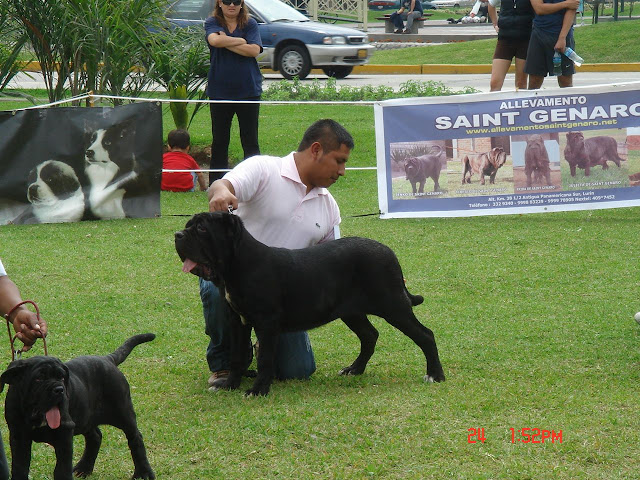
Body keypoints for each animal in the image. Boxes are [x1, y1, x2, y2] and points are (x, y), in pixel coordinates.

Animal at [0, 334, 155, 480]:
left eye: (62, 377)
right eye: (39, 378)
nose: (59, 389)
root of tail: (108, 359)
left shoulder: (65, 434)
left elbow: (62, 468)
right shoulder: (19, 436)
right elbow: (20, 465)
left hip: (122, 413)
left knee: (135, 438)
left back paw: (144, 473)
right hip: (86, 417)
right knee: (95, 436)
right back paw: (84, 468)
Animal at [175, 212, 444, 396]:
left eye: (201, 228)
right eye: (188, 226)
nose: (178, 235)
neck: (236, 266)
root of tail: (388, 251)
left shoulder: (266, 322)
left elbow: (264, 359)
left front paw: (258, 390)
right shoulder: (238, 321)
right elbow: (237, 356)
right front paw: (231, 385)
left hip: (392, 305)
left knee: (425, 335)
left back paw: (435, 375)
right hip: (353, 311)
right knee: (370, 335)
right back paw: (354, 370)